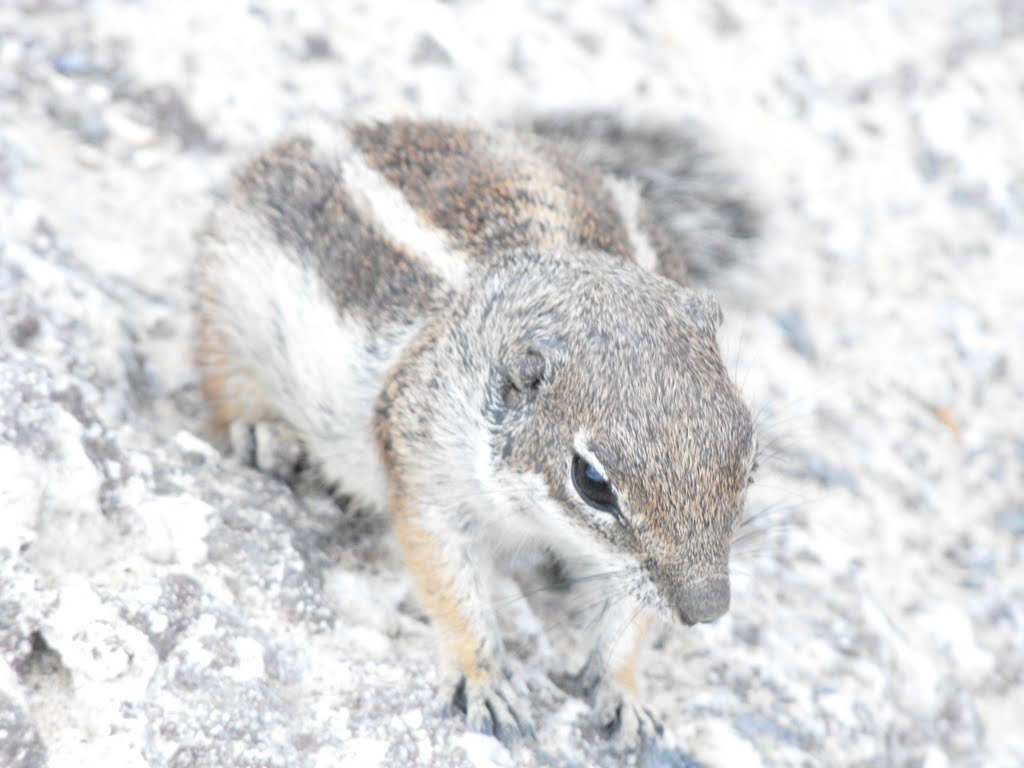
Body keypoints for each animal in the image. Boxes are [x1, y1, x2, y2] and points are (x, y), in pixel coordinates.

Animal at [192, 117, 761, 749]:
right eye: (591, 481)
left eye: (750, 462)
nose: (707, 609)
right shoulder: (425, 469)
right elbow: (448, 584)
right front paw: (482, 679)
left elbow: (630, 619)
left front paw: (626, 692)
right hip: (232, 289)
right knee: (218, 364)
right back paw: (259, 429)